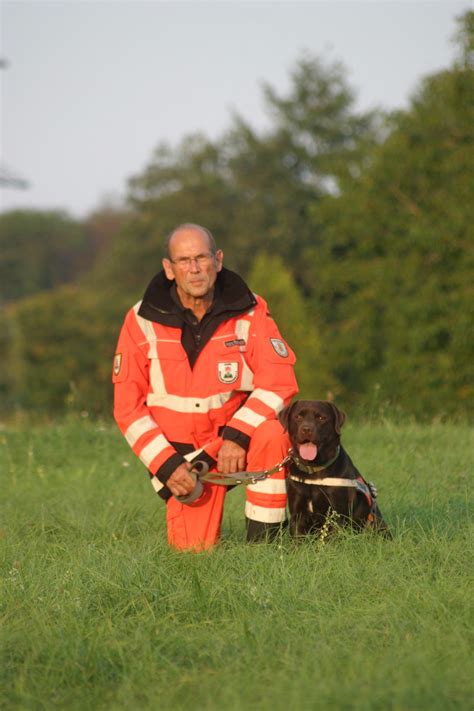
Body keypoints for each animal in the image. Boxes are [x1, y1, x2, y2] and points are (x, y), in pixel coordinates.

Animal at [278, 404, 388, 536]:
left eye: (321, 418)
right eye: (298, 416)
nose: (307, 429)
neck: (314, 469)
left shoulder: (337, 514)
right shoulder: (298, 513)